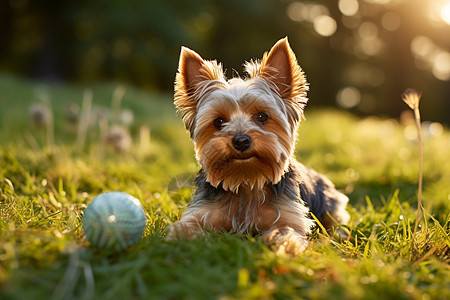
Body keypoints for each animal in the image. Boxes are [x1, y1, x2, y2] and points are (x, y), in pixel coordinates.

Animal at [167, 36, 350, 254]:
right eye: (218, 121)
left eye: (262, 116)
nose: (241, 140)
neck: (247, 181)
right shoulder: (202, 212)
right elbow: (185, 227)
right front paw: (183, 240)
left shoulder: (289, 216)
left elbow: (287, 232)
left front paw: (282, 245)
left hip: (331, 202)